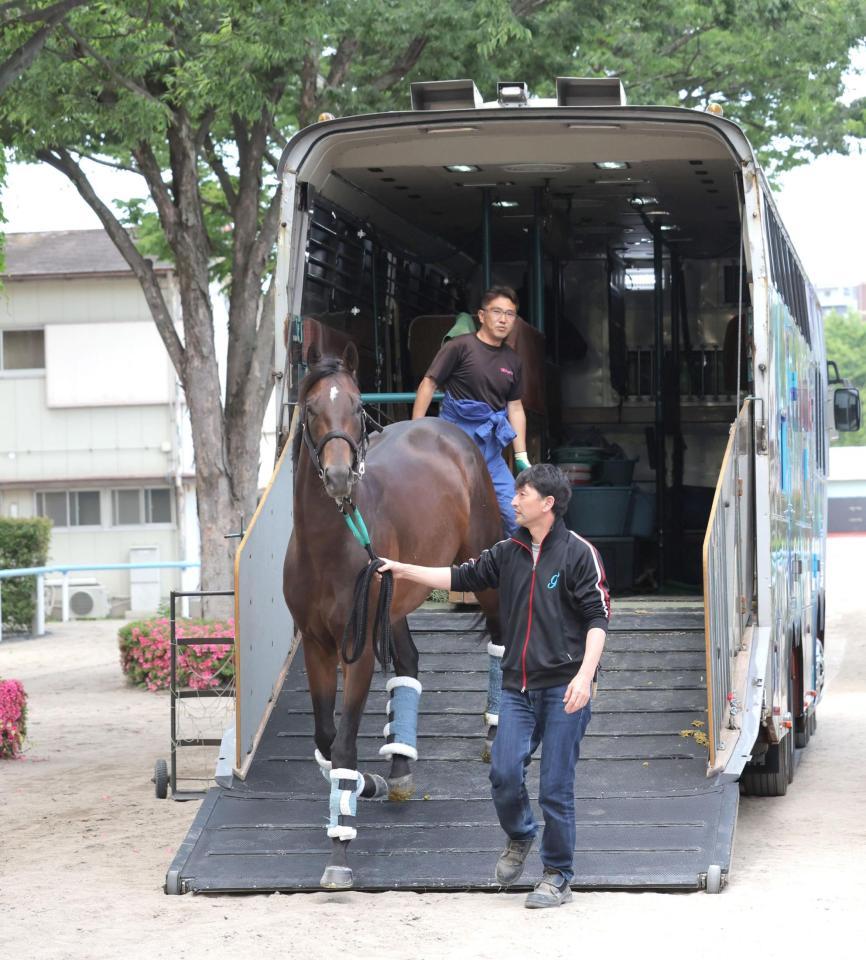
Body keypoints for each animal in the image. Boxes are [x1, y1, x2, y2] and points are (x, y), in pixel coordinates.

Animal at [284, 342, 500, 888]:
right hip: (397, 601)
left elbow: (342, 745)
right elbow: (325, 740)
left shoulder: (356, 650)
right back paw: (399, 766)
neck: (327, 545)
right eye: (311, 408)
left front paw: (339, 854)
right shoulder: (317, 646)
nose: (340, 476)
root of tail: (447, 431)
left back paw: (494, 732)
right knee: (408, 663)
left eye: (358, 406)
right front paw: (369, 785)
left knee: (501, 638)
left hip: (482, 569)